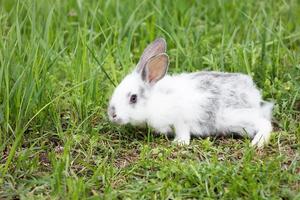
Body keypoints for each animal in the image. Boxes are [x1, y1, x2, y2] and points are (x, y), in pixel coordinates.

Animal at [106, 38, 274, 147]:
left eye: (133, 98)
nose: (112, 115)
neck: (154, 102)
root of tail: (253, 94)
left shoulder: (180, 119)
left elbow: (183, 131)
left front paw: (179, 143)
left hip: (237, 117)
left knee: (265, 124)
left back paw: (257, 143)